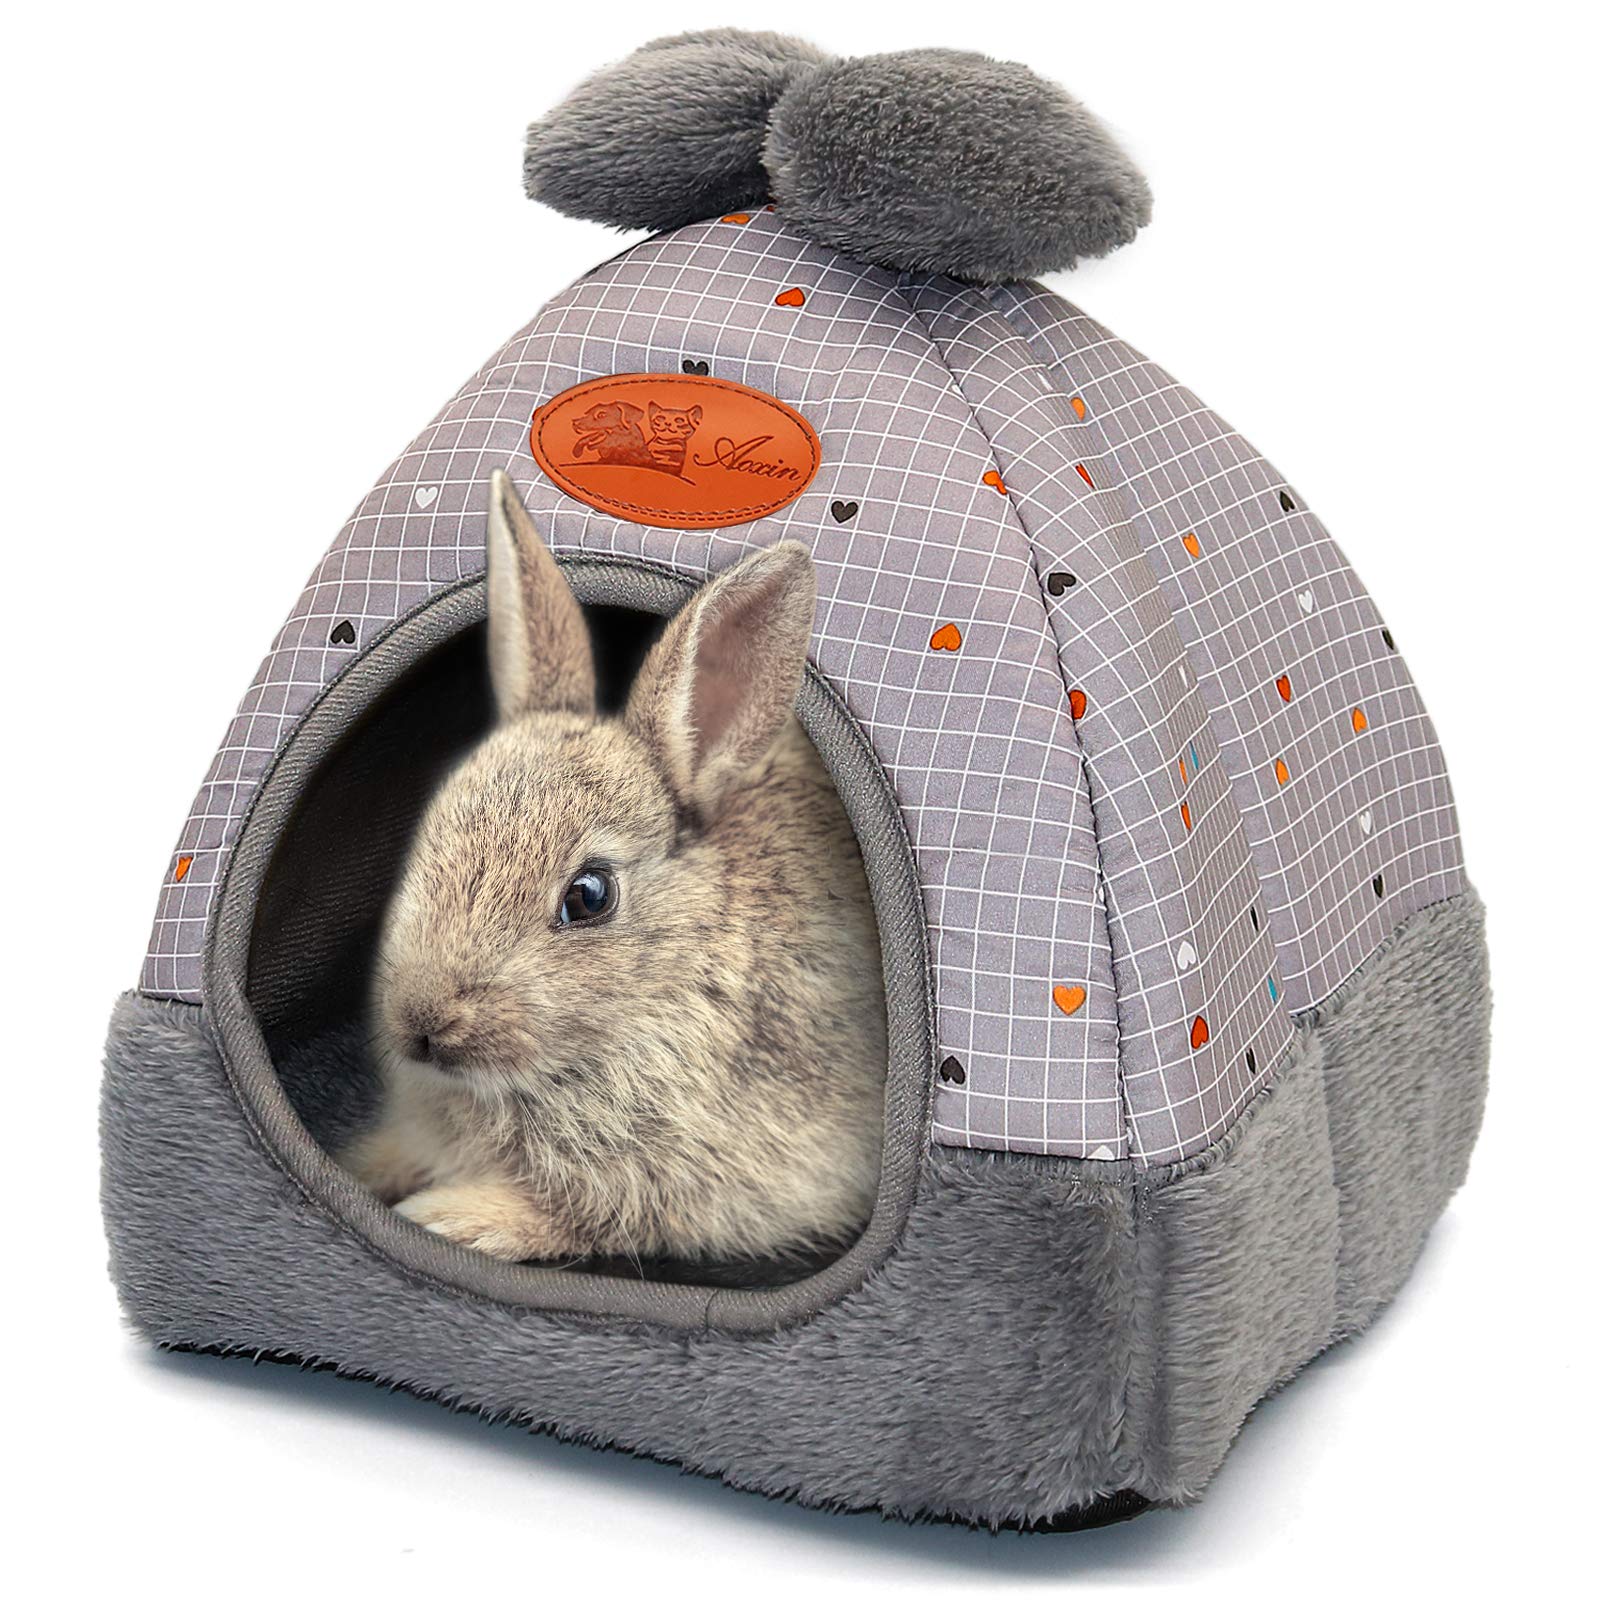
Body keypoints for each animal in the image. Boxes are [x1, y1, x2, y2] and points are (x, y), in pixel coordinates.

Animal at [339, 470, 887, 1265]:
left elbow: (591, 1216)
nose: (423, 1024)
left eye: (589, 896)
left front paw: (450, 1216)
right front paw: (362, 1164)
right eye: (433, 833)